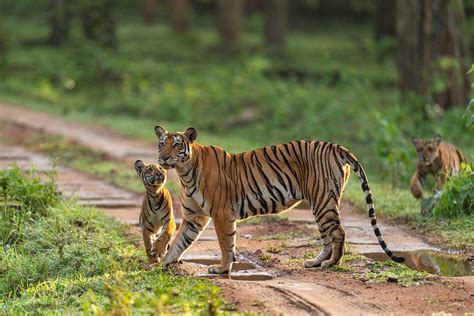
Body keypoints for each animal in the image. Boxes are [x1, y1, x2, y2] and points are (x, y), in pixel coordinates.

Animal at [155, 126, 404, 274]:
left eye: (176, 145)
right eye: (161, 144)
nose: (163, 158)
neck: (185, 172)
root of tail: (335, 146)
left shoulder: (221, 214)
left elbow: (226, 244)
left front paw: (222, 269)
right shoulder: (194, 217)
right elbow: (179, 242)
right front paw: (162, 262)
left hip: (323, 201)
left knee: (339, 233)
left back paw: (332, 264)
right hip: (321, 204)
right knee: (327, 236)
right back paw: (314, 262)